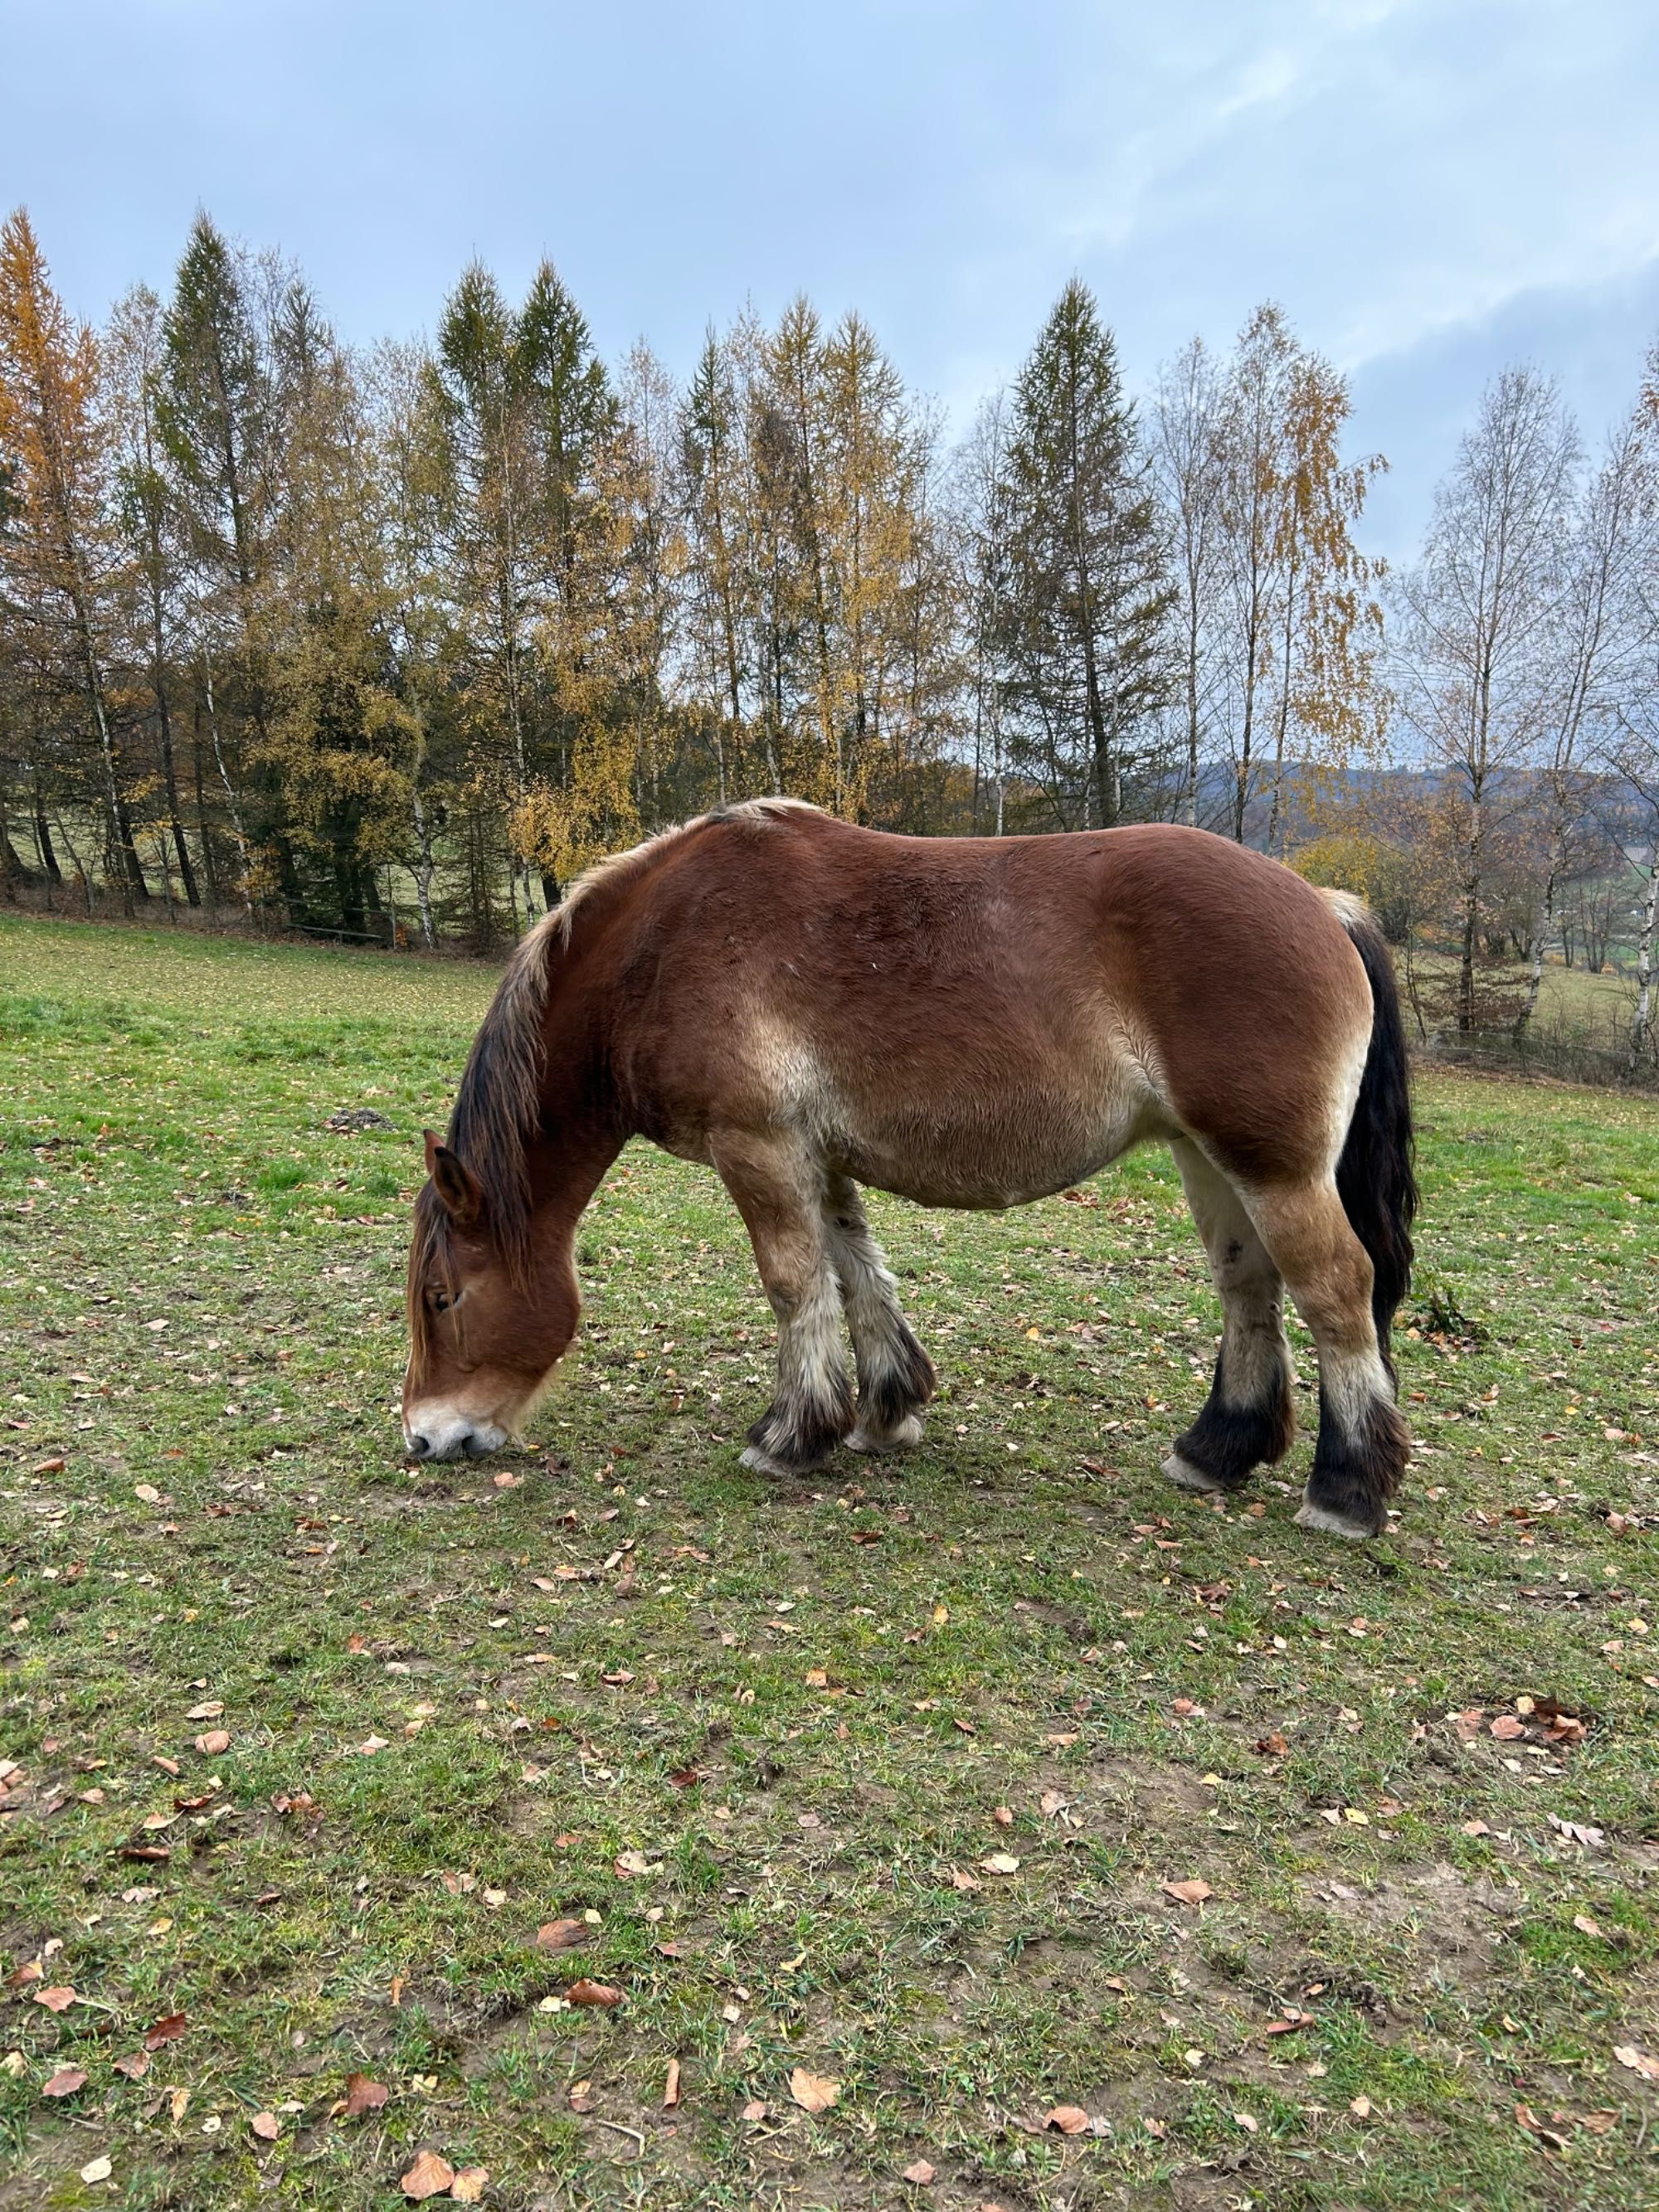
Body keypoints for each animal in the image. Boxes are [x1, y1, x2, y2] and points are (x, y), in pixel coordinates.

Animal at [400, 796, 1415, 1539]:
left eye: (443, 1298)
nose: (423, 1437)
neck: (662, 946)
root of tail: (1321, 905)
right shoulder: (815, 1156)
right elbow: (856, 1274)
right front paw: (884, 1411)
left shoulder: (757, 1148)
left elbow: (794, 1283)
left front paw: (789, 1435)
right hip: (1210, 1159)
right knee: (1248, 1287)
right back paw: (1216, 1450)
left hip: (1274, 1169)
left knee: (1335, 1290)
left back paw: (1345, 1491)